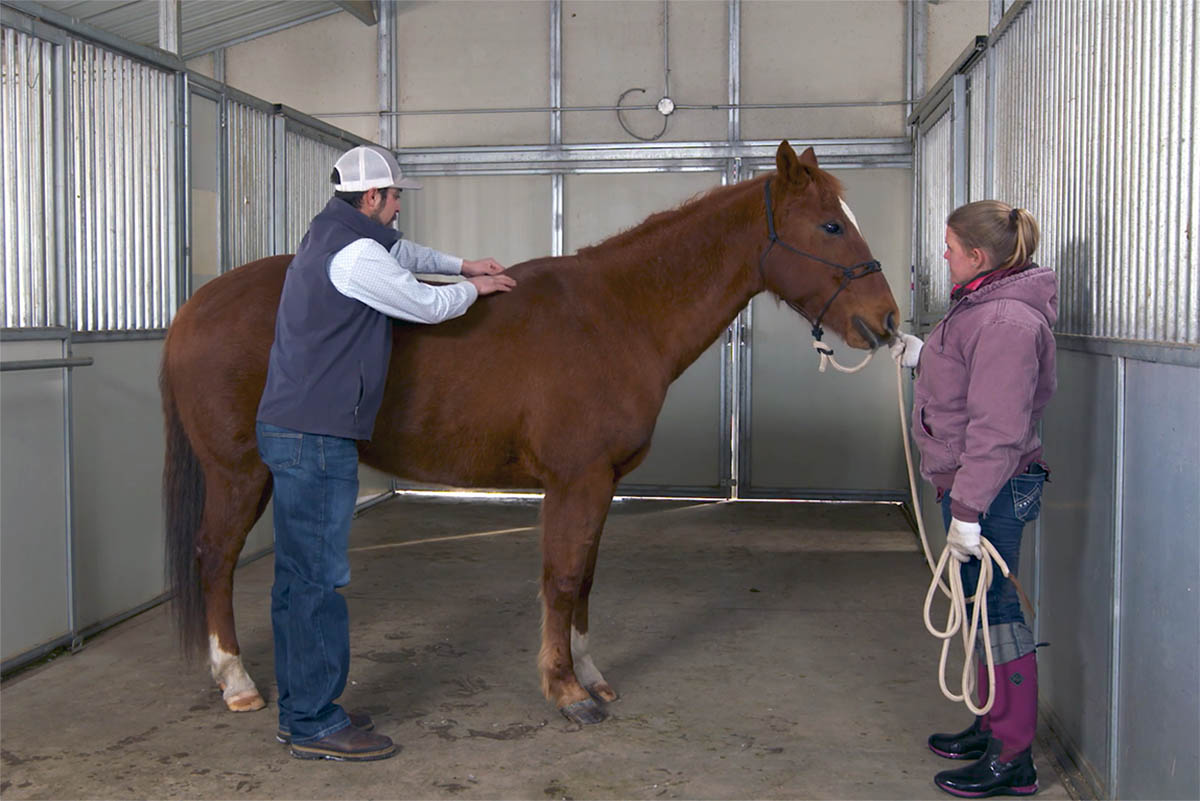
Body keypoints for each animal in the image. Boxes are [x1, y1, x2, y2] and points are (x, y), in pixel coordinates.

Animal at [166, 140, 902, 724]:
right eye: (831, 225)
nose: (888, 321)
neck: (619, 314)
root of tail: (193, 310)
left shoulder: (603, 483)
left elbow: (587, 579)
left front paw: (590, 674)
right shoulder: (576, 479)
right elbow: (563, 576)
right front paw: (565, 689)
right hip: (241, 473)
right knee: (216, 558)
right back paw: (237, 680)